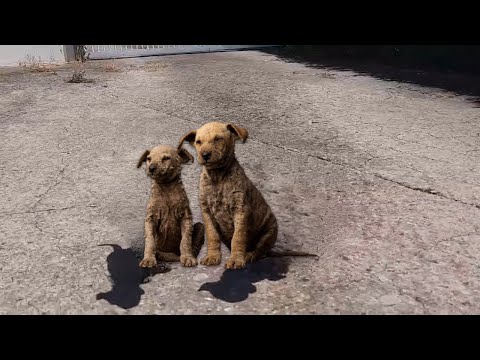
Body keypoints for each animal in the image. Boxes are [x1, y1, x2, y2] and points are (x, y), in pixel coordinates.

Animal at [180, 121, 316, 270]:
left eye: (218, 139)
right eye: (198, 142)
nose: (204, 155)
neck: (218, 177)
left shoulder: (241, 210)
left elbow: (238, 237)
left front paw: (236, 259)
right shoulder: (207, 212)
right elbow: (212, 235)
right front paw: (213, 256)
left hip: (269, 231)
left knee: (260, 250)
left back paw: (249, 255)